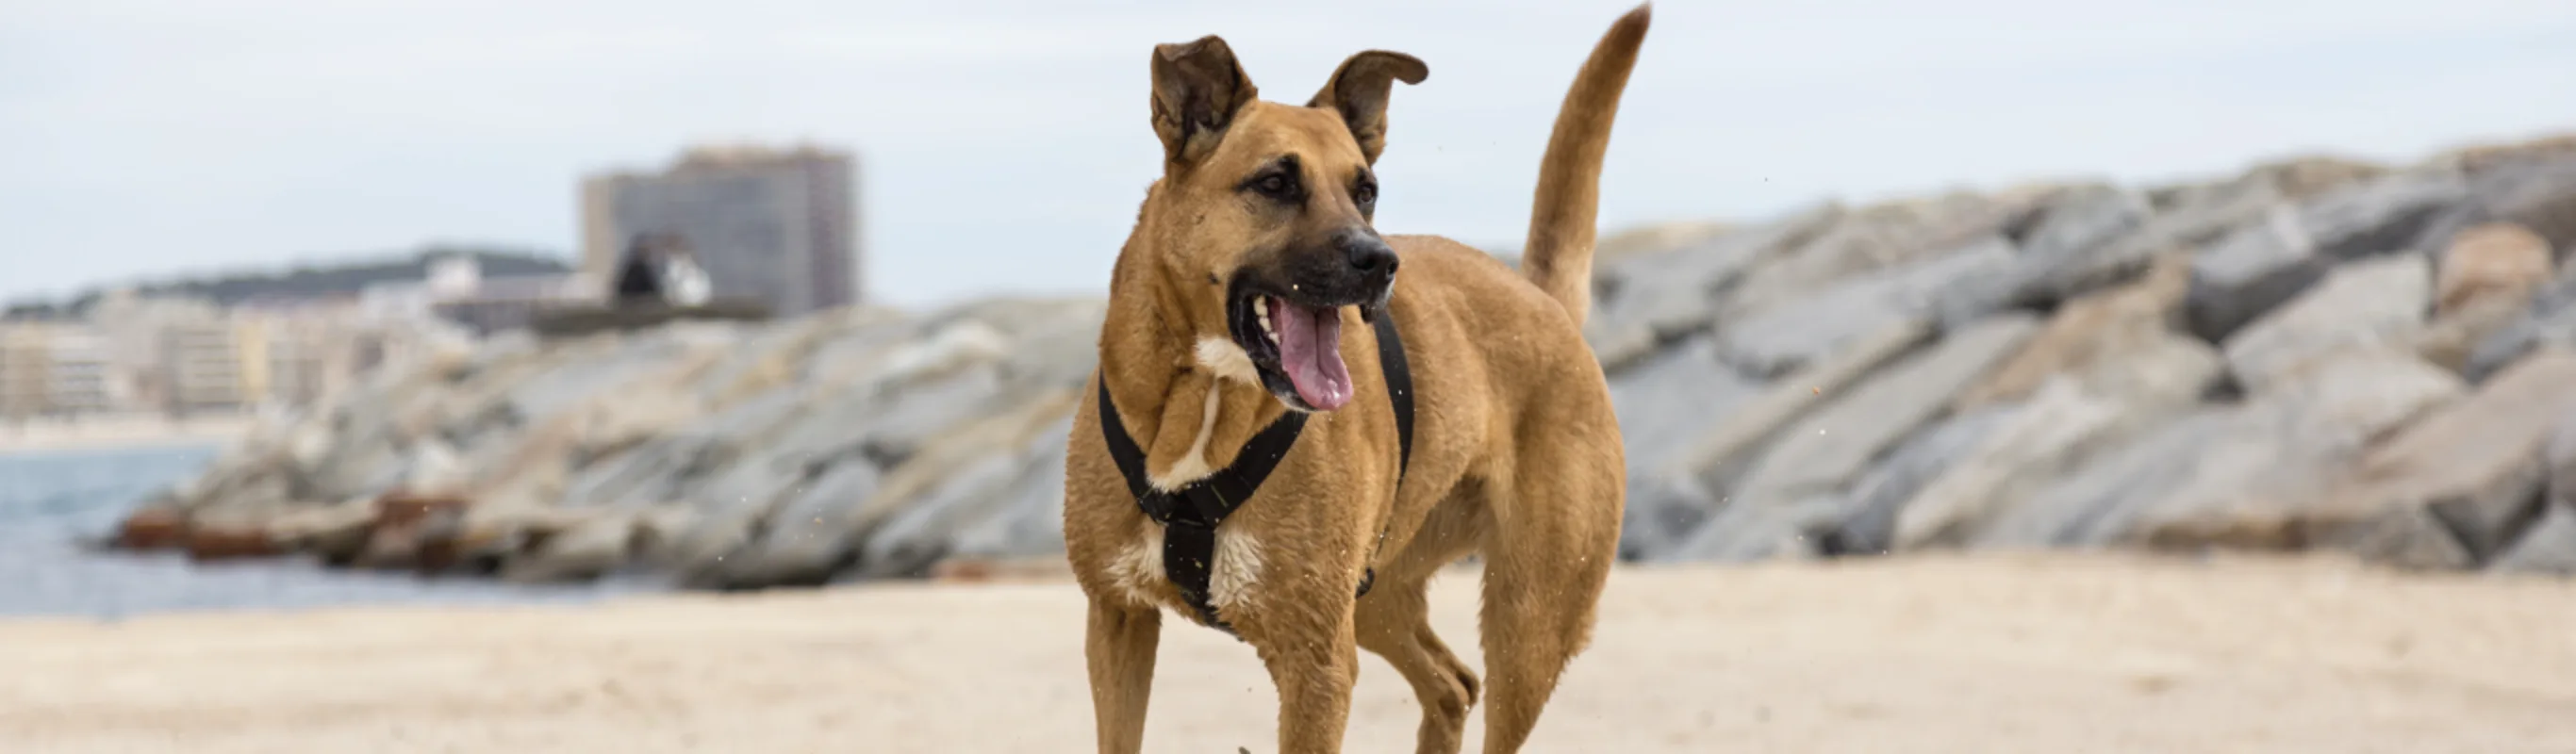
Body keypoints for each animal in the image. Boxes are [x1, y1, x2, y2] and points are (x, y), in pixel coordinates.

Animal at [1061, 7, 1648, 751]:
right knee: (1453, 683)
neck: (1206, 398)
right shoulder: (1117, 619)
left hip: (1530, 619)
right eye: (1275, 183)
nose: (1382, 261)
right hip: (1375, 594)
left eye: (1366, 191)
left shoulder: (1316, 663)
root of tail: (1542, 300)